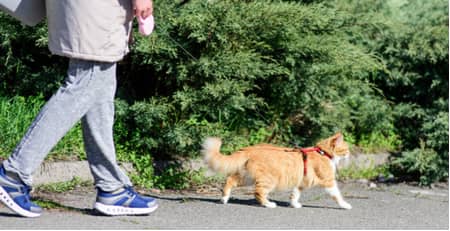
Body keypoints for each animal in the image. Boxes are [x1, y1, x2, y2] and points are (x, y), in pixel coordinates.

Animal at [202, 132, 354, 209]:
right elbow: (338, 196)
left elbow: (295, 195)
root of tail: (250, 148)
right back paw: (269, 204)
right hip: (268, 180)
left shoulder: (301, 182)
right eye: (346, 149)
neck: (323, 153)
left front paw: (294, 204)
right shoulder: (329, 181)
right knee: (258, 192)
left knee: (229, 180)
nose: (350, 154)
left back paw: (224, 198)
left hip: (247, 177)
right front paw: (345, 205)